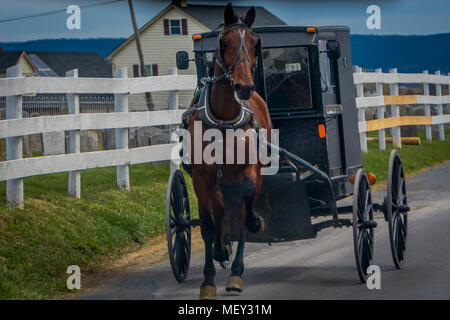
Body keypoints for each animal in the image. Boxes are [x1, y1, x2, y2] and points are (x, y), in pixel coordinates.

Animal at [185, 3, 270, 298]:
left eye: (256, 43)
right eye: (224, 42)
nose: (244, 87)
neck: (223, 121)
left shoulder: (250, 170)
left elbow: (245, 208)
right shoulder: (201, 178)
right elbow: (209, 224)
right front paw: (208, 280)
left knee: (239, 210)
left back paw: (235, 269)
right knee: (219, 210)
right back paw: (222, 250)